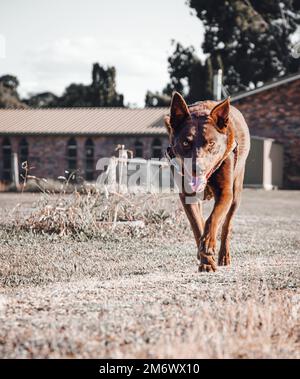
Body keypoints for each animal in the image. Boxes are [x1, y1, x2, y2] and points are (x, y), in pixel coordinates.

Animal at [165, 92, 250, 274]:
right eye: (185, 142)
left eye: (211, 143)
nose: (198, 169)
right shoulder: (188, 195)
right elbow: (198, 225)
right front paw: (205, 261)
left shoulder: (226, 192)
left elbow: (214, 218)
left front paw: (209, 245)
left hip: (237, 191)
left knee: (226, 225)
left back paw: (224, 255)